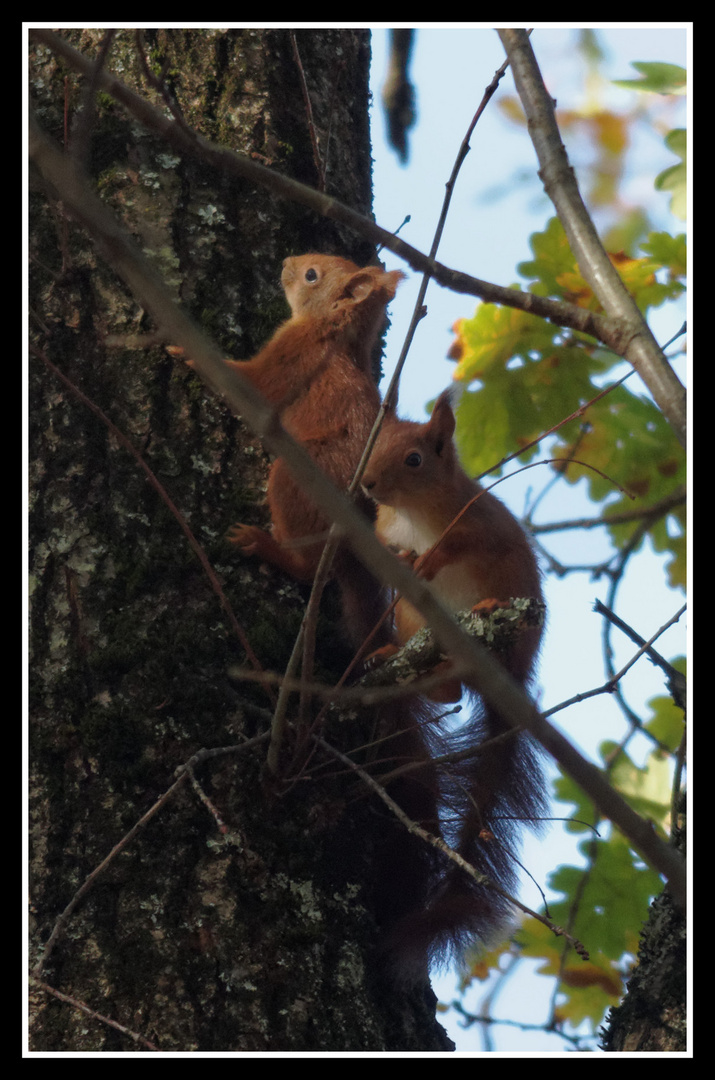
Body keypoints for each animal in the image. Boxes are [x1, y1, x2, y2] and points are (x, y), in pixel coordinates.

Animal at [210, 257, 406, 643]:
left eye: (311, 275)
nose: (287, 261)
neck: (333, 331)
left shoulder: (293, 352)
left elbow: (250, 380)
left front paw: (182, 349)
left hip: (301, 479)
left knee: (309, 568)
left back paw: (263, 545)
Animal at [365, 390, 548, 980]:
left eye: (415, 459)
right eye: (374, 443)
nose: (368, 485)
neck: (413, 514)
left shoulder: (480, 520)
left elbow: (464, 544)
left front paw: (432, 558)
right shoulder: (383, 532)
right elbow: (386, 549)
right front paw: (404, 559)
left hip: (516, 618)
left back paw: (486, 615)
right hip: (412, 622)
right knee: (447, 694)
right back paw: (396, 657)